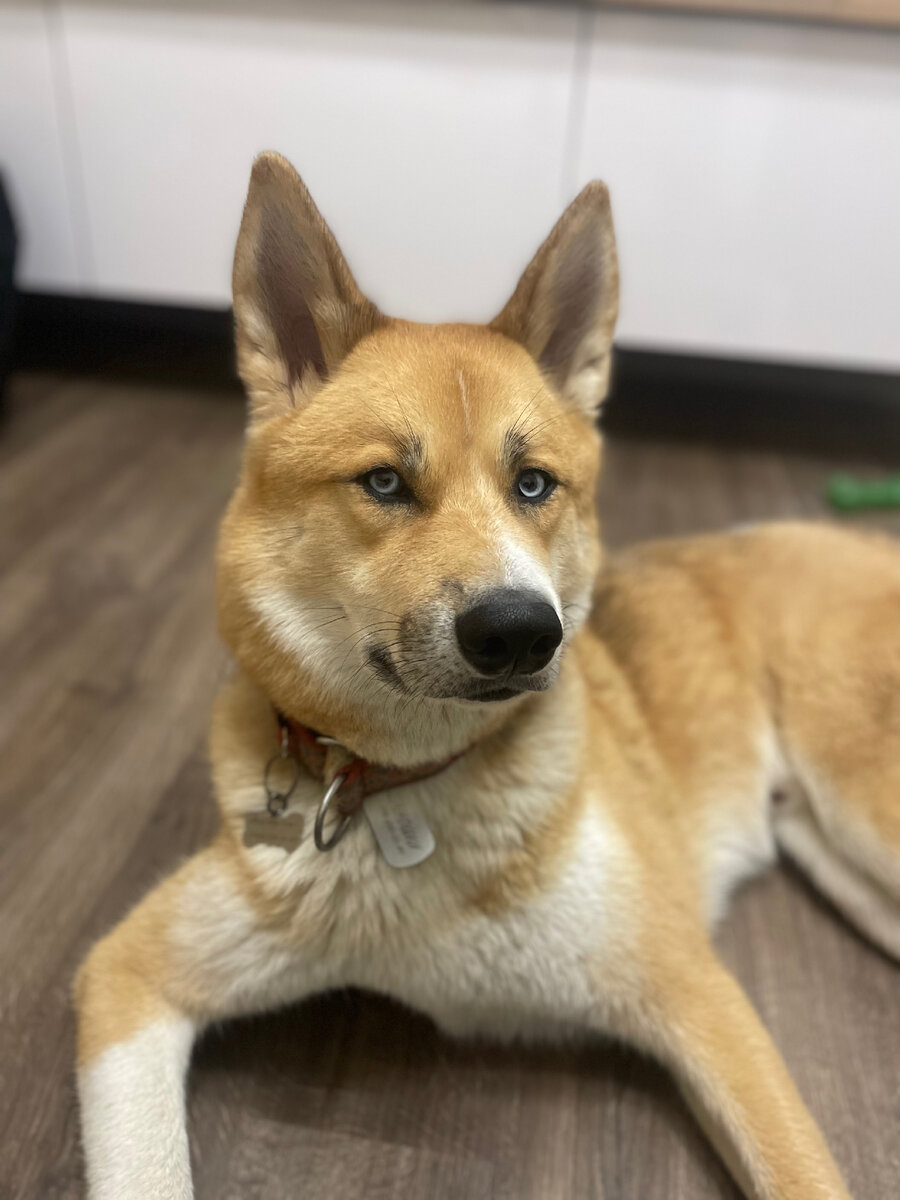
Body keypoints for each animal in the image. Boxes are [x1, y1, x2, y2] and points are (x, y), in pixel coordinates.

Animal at [75, 151, 900, 1200]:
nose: (520, 634)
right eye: (385, 483)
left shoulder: (695, 992)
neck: (409, 790)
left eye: (533, 484)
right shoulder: (127, 981)